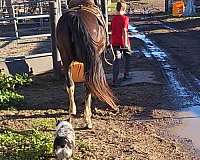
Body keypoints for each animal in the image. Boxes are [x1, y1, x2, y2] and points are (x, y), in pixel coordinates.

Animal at [56, 0, 117, 128]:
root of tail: (75, 17)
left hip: (66, 59)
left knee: (70, 83)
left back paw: (72, 111)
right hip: (88, 61)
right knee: (89, 84)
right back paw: (87, 119)